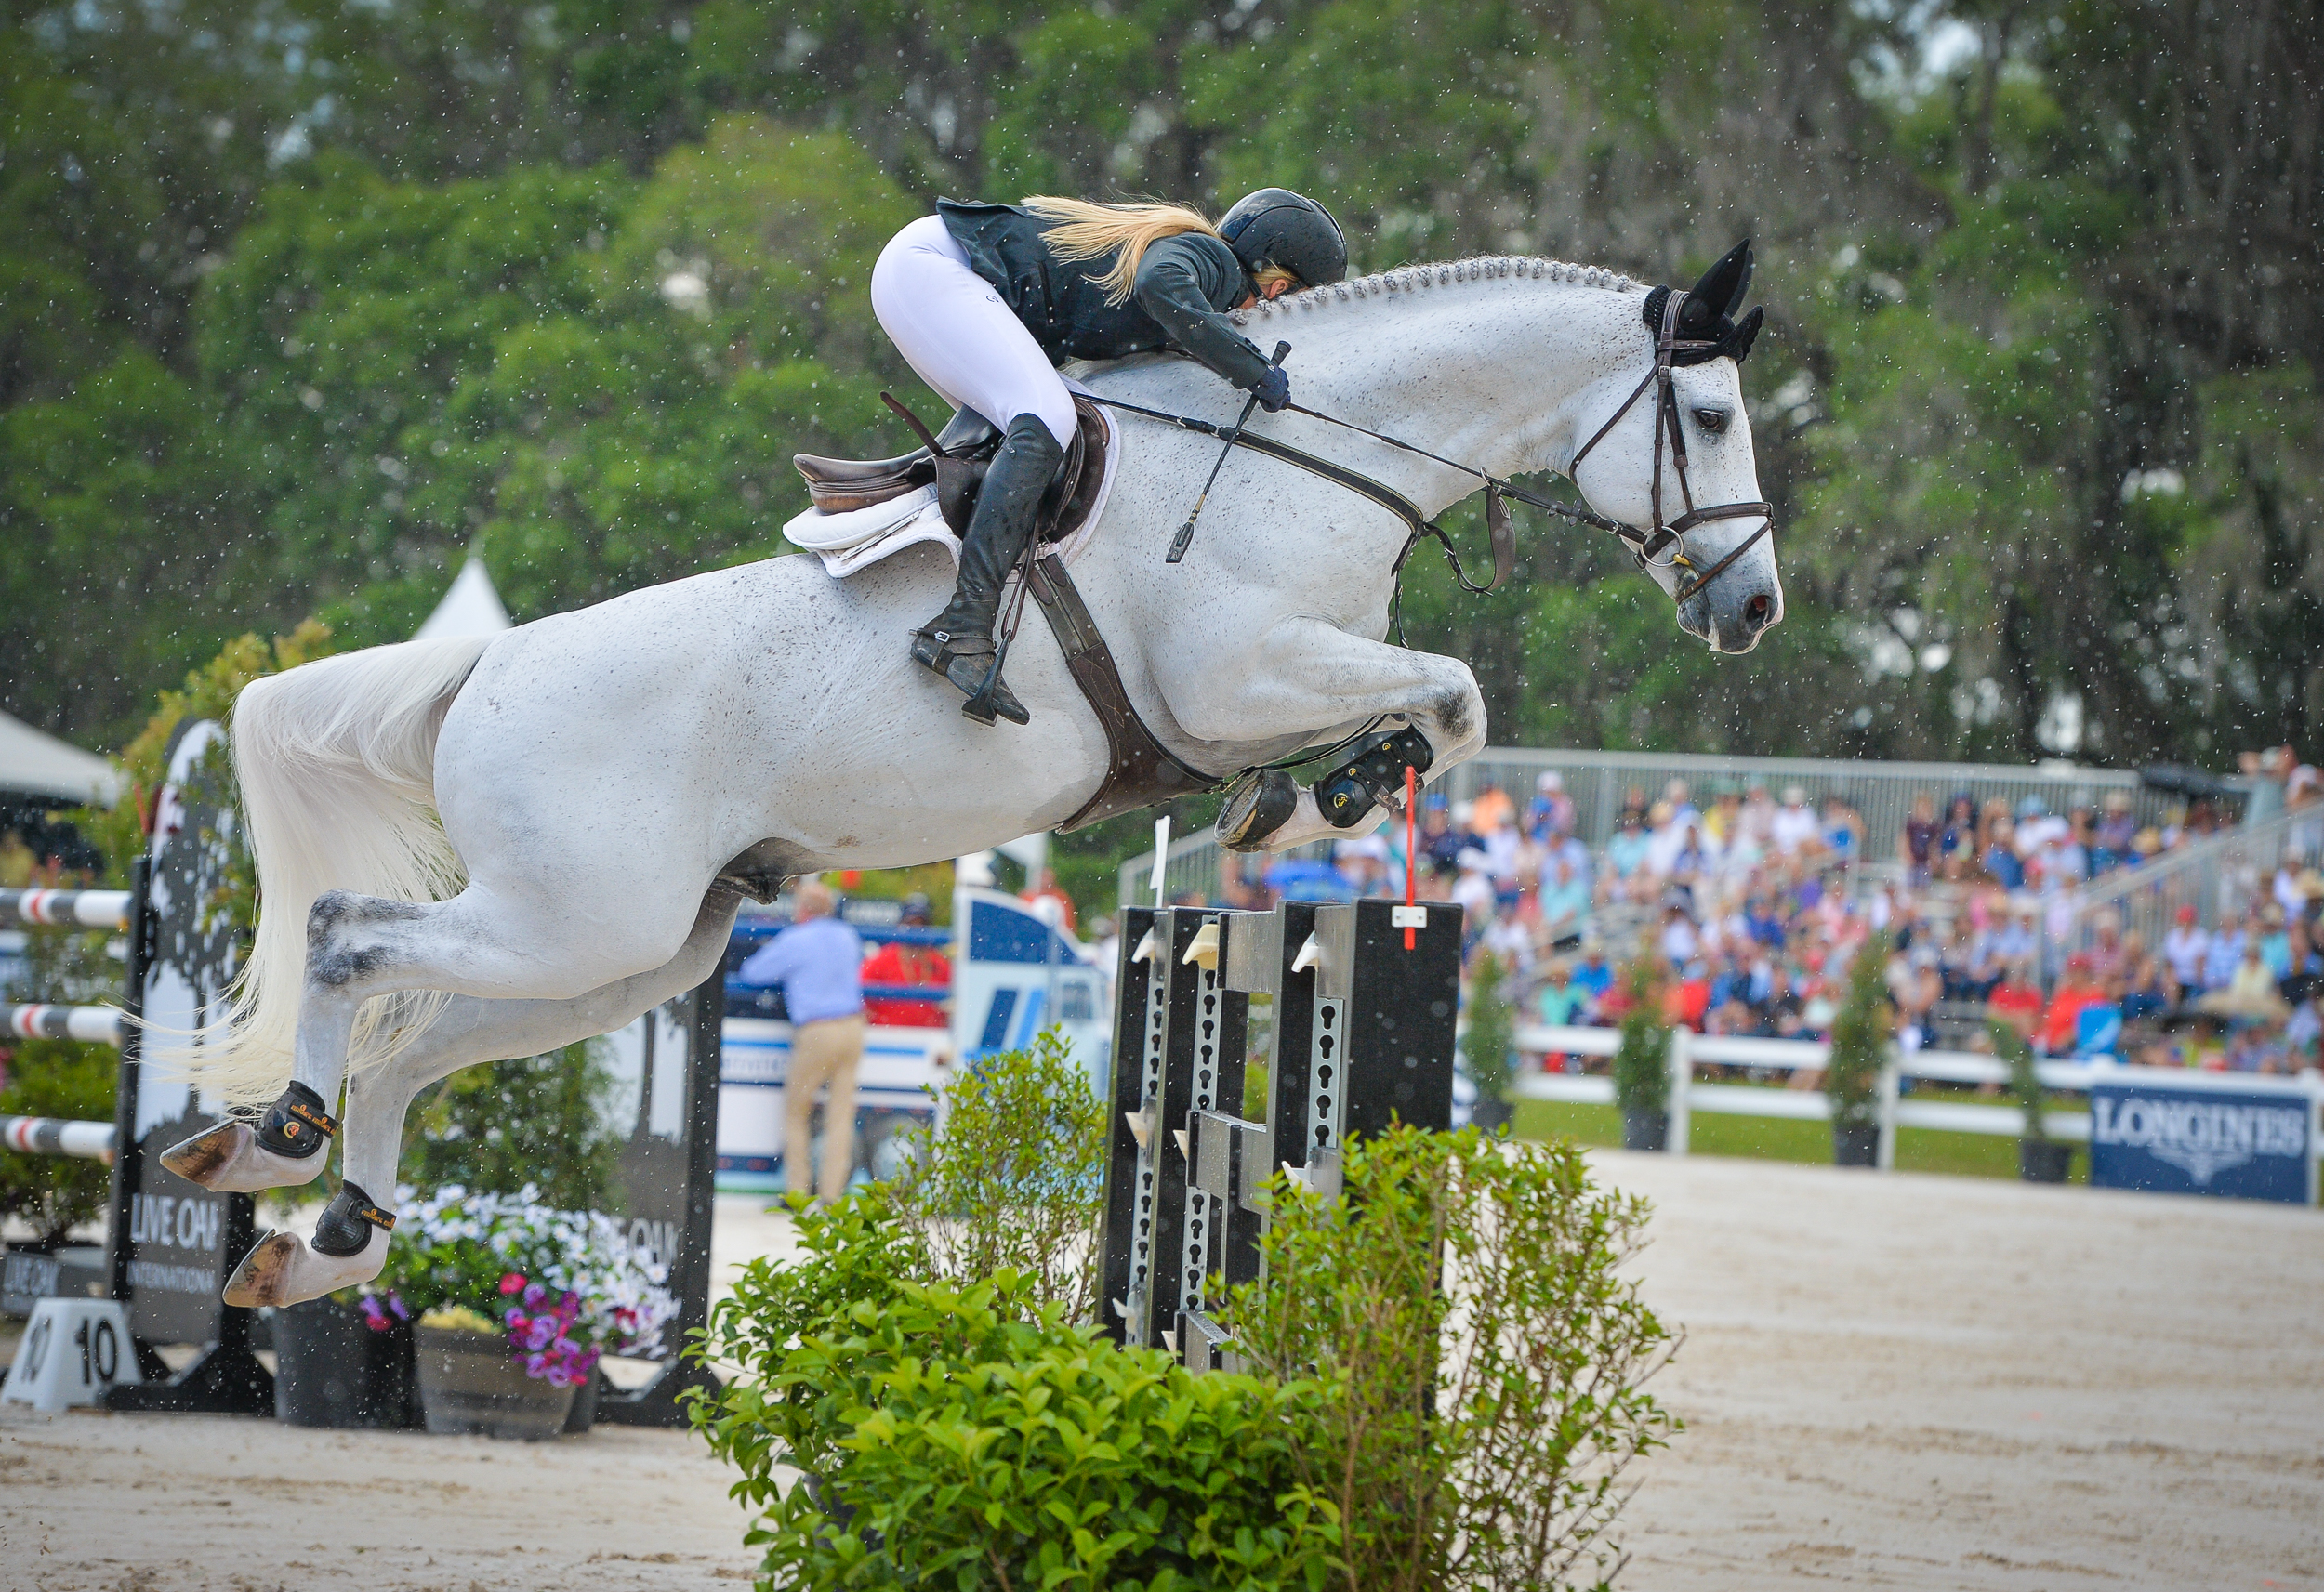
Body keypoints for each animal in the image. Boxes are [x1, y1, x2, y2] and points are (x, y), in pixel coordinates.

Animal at [164, 239, 1785, 1301]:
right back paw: (272, 1145)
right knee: (346, 942)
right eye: (1709, 418)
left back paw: (324, 1240)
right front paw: (1322, 794)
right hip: (570, 919)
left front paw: (1304, 794)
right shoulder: (1238, 672)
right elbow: (1455, 696)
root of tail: (481, 668)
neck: (1310, 454)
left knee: (412, 1044)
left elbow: (1440, 705)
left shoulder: (1275, 677)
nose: (1755, 610)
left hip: (628, 953)